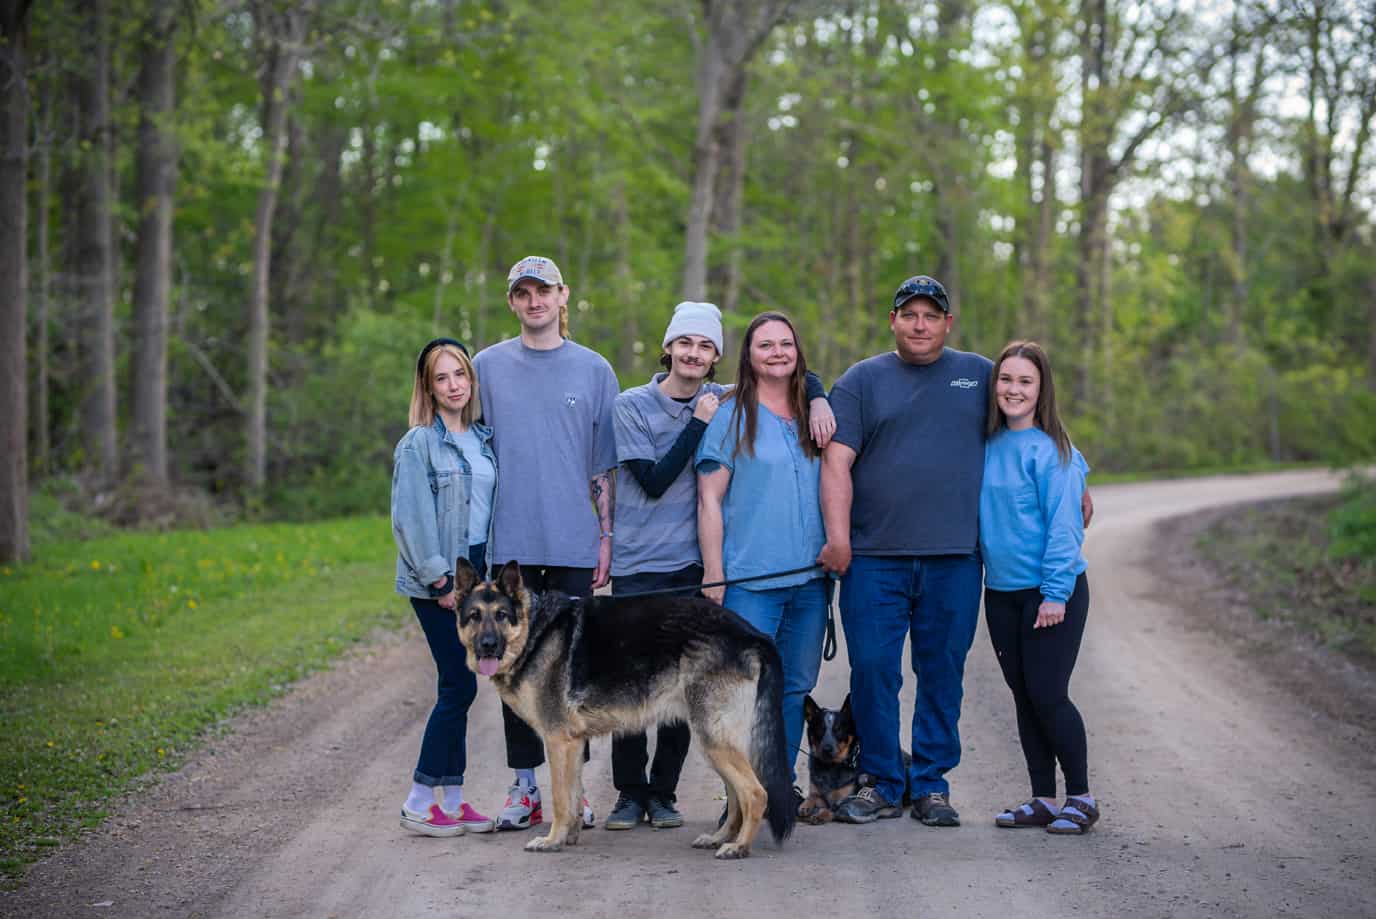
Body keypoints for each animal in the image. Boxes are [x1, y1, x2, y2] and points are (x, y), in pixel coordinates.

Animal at [453, 558, 796, 859]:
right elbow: (573, 796)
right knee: (737, 795)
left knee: (755, 794)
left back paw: (738, 847)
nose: (486, 645)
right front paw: (569, 836)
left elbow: (561, 799)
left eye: (501, 615)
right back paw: (720, 838)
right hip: (716, 742)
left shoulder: (558, 742)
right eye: (474, 616)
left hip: (714, 739)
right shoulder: (572, 745)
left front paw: (551, 841)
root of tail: (754, 635)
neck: (534, 630)